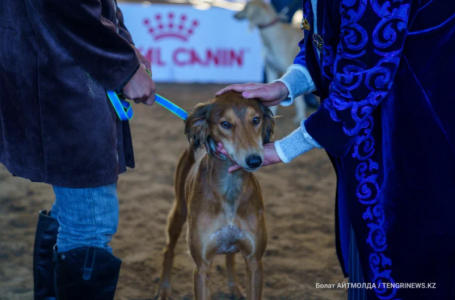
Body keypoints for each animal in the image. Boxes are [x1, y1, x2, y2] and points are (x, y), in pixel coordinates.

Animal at [155, 92, 276, 300]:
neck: (229, 190)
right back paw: (164, 288)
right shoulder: (202, 267)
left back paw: (234, 287)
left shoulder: (254, 261)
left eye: (256, 120)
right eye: (225, 124)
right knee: (168, 250)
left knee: (230, 257)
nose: (254, 160)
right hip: (179, 212)